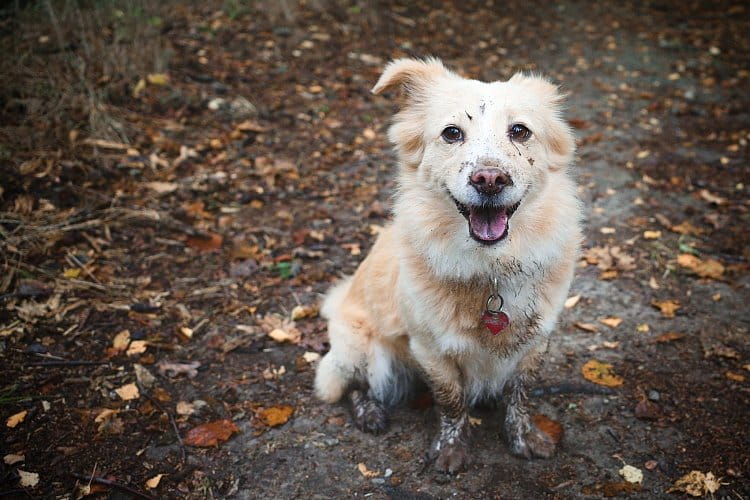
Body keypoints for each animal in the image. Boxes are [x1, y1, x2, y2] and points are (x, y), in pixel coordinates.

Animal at [314, 58, 584, 472]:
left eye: (520, 131)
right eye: (452, 133)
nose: (489, 179)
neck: (492, 270)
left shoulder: (535, 343)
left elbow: (520, 395)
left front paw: (522, 437)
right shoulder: (430, 349)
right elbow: (451, 400)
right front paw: (450, 450)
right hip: (361, 348)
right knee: (355, 386)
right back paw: (370, 413)